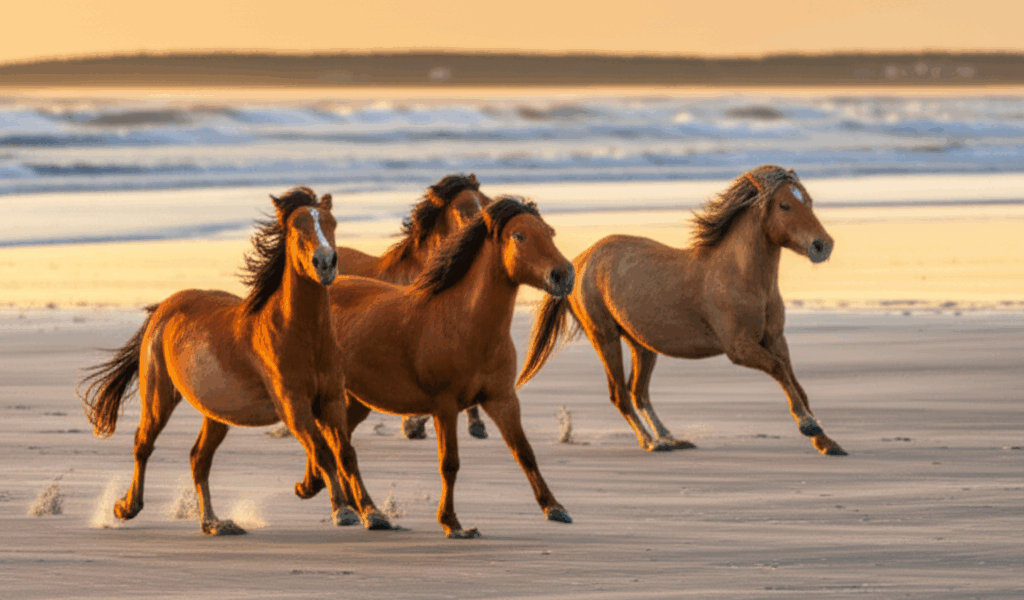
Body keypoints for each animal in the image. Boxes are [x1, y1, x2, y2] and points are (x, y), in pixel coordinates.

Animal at [77, 188, 391, 535]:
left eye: (332, 223)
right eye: (296, 228)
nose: (325, 263)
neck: (301, 334)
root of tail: (164, 308)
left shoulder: (331, 399)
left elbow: (345, 453)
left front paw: (372, 513)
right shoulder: (293, 406)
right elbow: (322, 451)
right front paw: (342, 510)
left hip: (215, 413)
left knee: (198, 458)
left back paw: (214, 523)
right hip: (159, 396)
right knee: (143, 444)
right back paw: (126, 507)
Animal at [517, 165, 846, 456]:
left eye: (809, 201)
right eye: (785, 205)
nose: (823, 245)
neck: (742, 277)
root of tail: (579, 261)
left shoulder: (775, 339)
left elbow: (795, 381)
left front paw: (827, 442)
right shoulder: (739, 347)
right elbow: (780, 371)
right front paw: (809, 426)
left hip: (641, 344)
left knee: (638, 392)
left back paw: (672, 439)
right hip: (604, 336)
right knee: (620, 395)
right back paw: (652, 443)